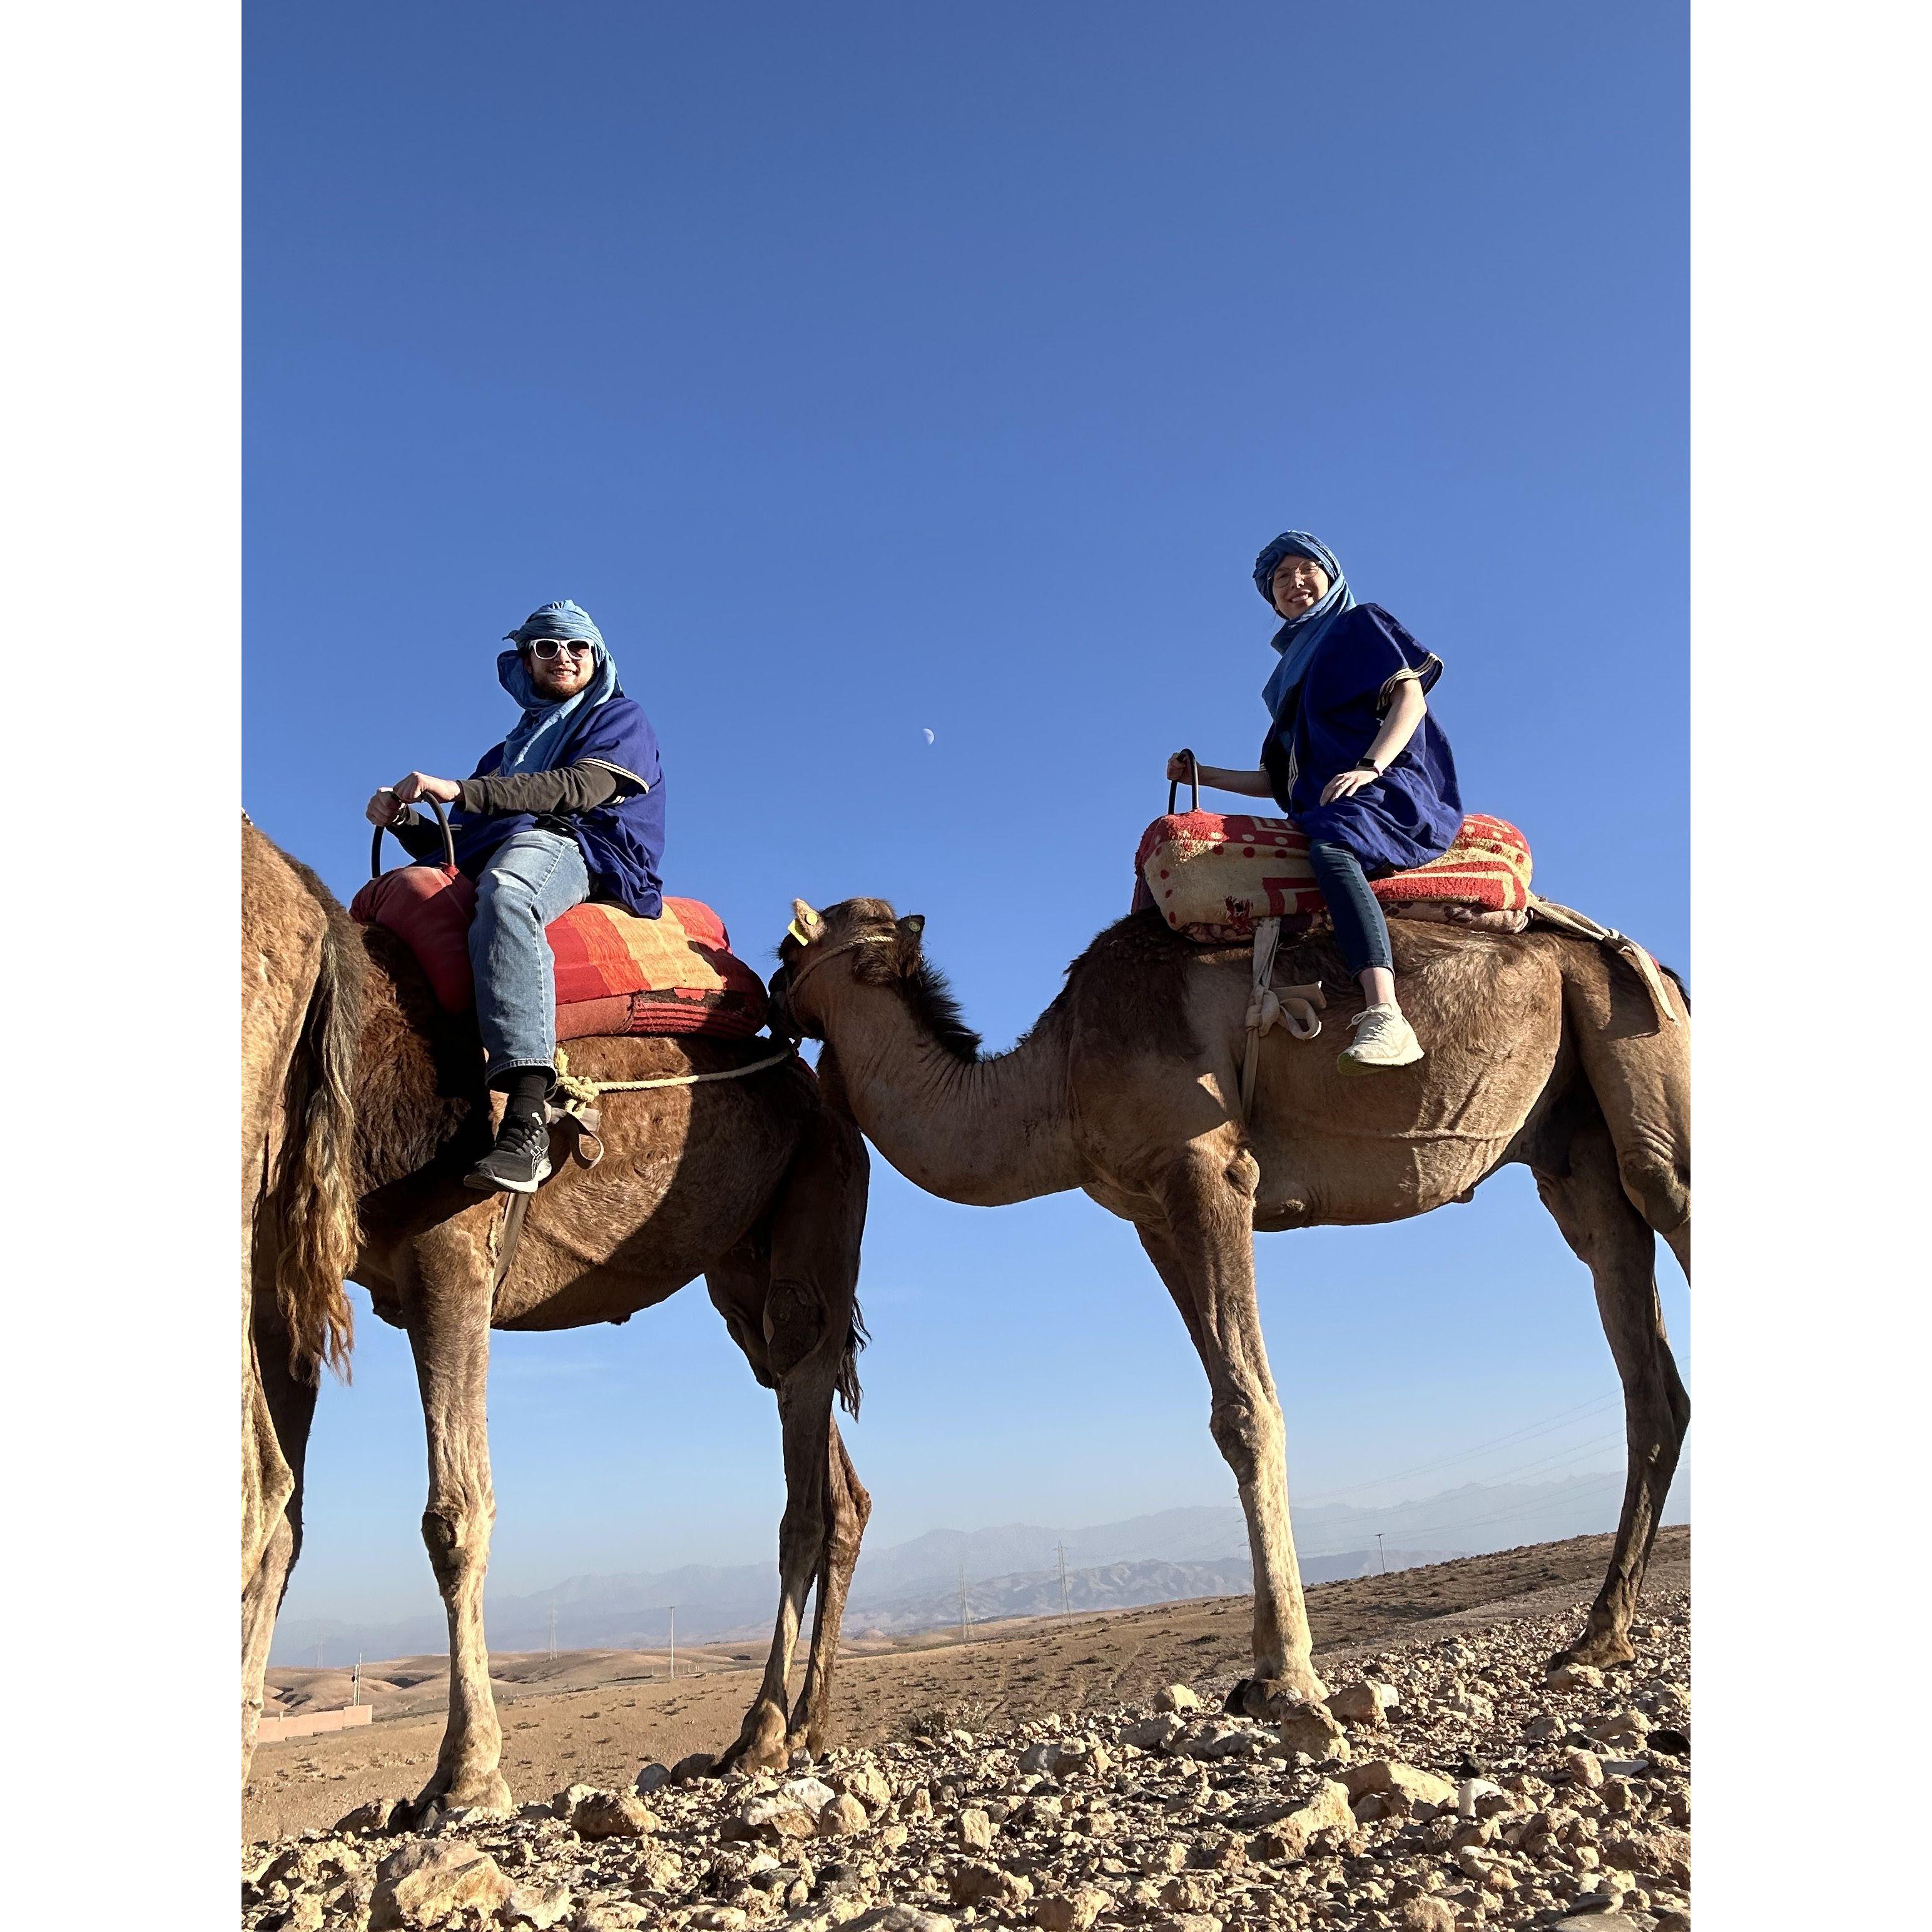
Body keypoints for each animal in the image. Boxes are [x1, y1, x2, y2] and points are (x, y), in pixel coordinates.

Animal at [242, 826, 877, 1808]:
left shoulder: (451, 1257)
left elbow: (453, 1514)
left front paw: (466, 1777)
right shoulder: (287, 1283)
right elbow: (278, 1518)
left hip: (819, 1207)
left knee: (803, 1492)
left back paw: (764, 1734)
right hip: (741, 1276)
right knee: (838, 1483)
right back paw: (804, 1726)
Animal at [776, 896, 1684, 1700]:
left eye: (787, 948)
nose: (766, 1000)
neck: (1055, 1079)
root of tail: (1654, 968)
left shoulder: (1206, 1167)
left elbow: (1248, 1408)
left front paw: (1285, 1677)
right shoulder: (1150, 1210)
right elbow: (1224, 1405)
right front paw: (1268, 1668)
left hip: (1637, 1050)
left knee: (1665, 1195)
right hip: (1574, 1146)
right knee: (1647, 1372)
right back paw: (1598, 1638)